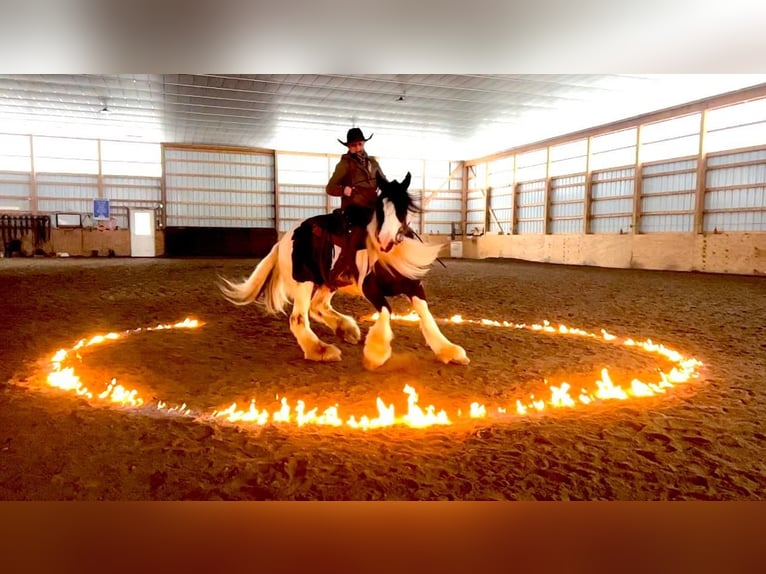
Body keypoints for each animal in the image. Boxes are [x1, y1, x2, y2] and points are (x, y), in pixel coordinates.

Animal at [219, 171, 472, 372]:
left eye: (402, 207)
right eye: (380, 208)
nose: (384, 240)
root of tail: (284, 239)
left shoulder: (414, 286)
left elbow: (426, 316)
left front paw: (449, 351)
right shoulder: (370, 288)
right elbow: (386, 311)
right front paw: (375, 355)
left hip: (328, 282)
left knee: (317, 307)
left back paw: (346, 330)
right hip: (304, 282)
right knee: (298, 318)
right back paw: (321, 350)